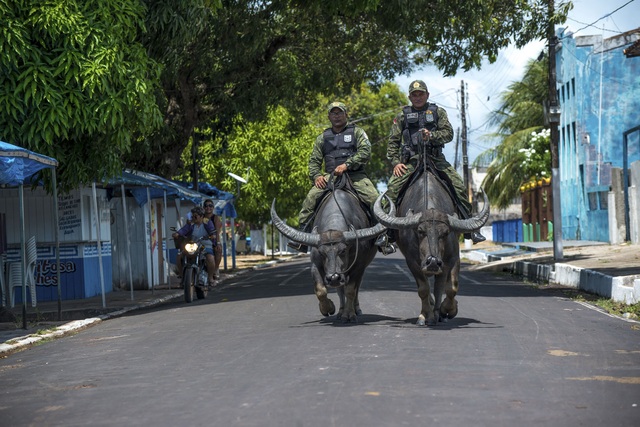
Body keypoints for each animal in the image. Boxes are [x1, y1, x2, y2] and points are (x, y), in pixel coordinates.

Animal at [270, 189, 390, 322]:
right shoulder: (316, 265)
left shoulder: (358, 266)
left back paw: (355, 309)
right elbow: (320, 290)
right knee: (340, 290)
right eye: (322, 252)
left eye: (343, 250)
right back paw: (340, 311)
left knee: (355, 288)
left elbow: (351, 290)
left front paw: (349, 314)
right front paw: (328, 309)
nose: (333, 277)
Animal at [370, 171, 490, 328]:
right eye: (420, 231)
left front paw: (446, 311)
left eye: (445, 232)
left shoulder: (451, 259)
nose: (432, 262)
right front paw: (427, 316)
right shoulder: (413, 262)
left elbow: (449, 288)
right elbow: (424, 289)